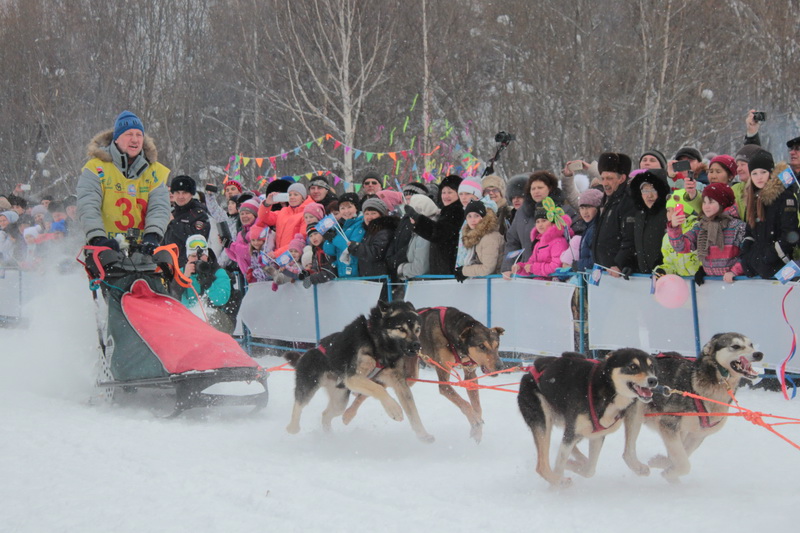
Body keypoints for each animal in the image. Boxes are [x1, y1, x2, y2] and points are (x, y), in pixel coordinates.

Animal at [285, 300, 434, 443]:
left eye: (417, 329)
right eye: (401, 328)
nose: (417, 345)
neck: (378, 343)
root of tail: (305, 354)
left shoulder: (399, 382)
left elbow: (413, 411)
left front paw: (423, 435)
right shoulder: (352, 377)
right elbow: (379, 389)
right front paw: (394, 409)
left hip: (340, 401)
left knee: (326, 414)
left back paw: (329, 436)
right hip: (309, 385)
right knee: (299, 404)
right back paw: (292, 428)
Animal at [340, 306, 504, 443]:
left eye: (497, 346)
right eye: (482, 346)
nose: (500, 366)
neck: (452, 336)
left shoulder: (470, 375)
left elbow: (477, 407)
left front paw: (477, 431)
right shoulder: (444, 383)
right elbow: (465, 404)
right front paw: (475, 419)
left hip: (410, 375)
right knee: (370, 389)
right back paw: (349, 414)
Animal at [518, 349, 658, 488]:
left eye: (651, 366)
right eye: (633, 366)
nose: (653, 380)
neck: (606, 390)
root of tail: (529, 372)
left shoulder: (596, 435)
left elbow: (590, 470)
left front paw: (573, 465)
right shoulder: (573, 433)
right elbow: (562, 464)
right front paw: (556, 486)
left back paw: (579, 461)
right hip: (544, 422)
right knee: (541, 466)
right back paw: (559, 480)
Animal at [622, 332, 762, 482]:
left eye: (751, 345)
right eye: (735, 346)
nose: (758, 354)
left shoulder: (696, 435)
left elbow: (680, 455)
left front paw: (662, 463)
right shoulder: (669, 424)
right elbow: (684, 464)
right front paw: (669, 472)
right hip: (637, 413)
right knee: (627, 452)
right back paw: (639, 468)